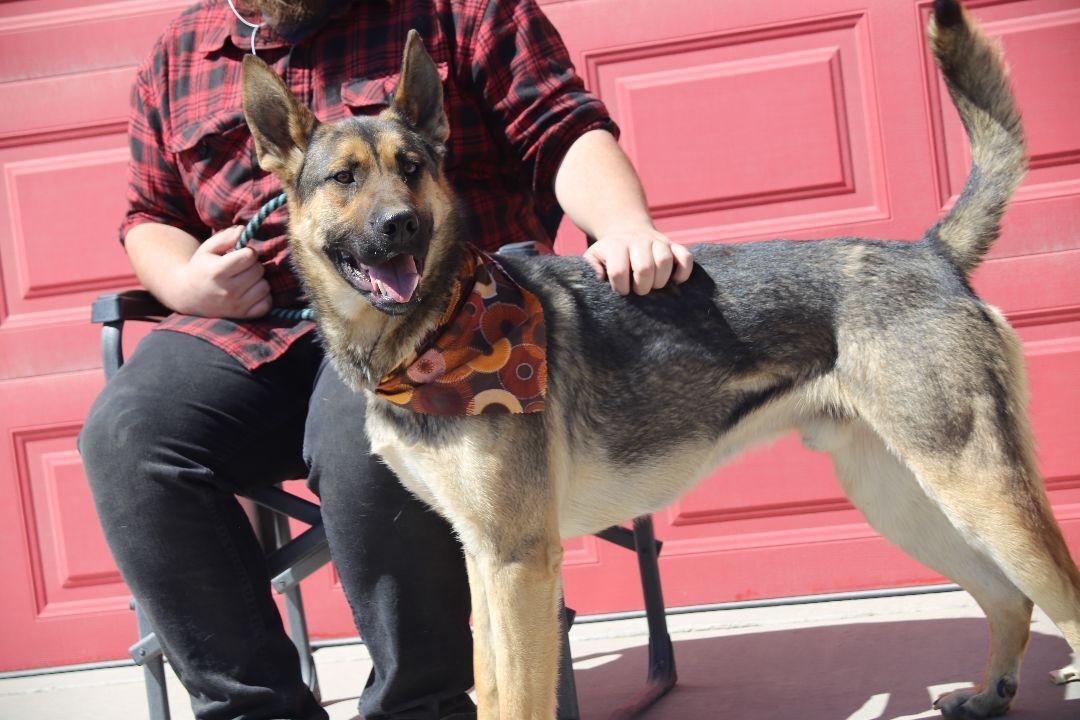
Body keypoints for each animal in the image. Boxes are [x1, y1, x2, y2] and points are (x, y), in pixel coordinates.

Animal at [243, 2, 1080, 716]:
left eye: (412, 167)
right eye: (345, 178)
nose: (403, 227)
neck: (434, 330)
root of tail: (930, 252)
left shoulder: (519, 560)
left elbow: (520, 697)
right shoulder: (483, 557)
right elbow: (492, 688)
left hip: (977, 488)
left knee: (1060, 597)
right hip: (903, 496)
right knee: (1010, 597)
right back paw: (988, 693)